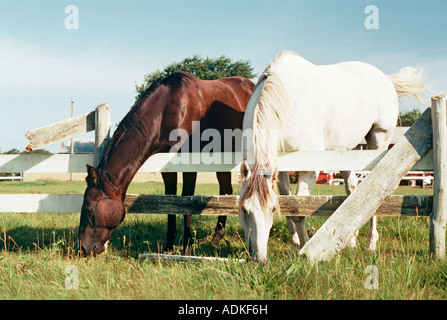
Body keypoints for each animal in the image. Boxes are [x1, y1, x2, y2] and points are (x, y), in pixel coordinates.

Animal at [78, 71, 256, 256]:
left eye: (89, 209)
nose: (82, 248)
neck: (167, 111)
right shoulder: (166, 166)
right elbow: (170, 198)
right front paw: (168, 246)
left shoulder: (189, 164)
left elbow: (186, 200)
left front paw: (187, 247)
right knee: (226, 190)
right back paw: (217, 236)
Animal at [242, 50, 428, 264]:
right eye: (244, 209)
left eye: (271, 210)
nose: (258, 259)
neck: (285, 101)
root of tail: (385, 78)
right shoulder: (280, 170)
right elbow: (289, 207)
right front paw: (295, 245)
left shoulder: (310, 169)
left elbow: (299, 210)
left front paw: (305, 249)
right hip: (345, 150)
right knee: (352, 189)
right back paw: (352, 241)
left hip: (378, 141)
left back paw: (371, 244)